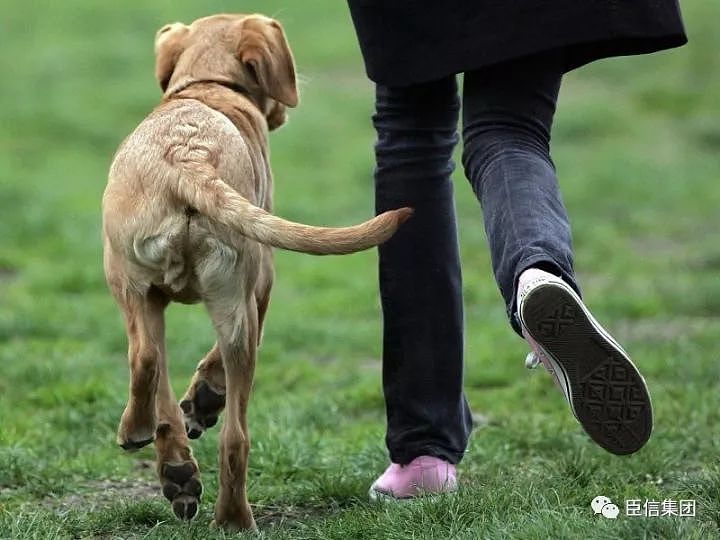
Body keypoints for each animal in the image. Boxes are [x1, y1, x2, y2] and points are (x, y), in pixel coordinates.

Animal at [101, 14, 410, 528]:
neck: (208, 86)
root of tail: (187, 156)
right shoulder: (261, 287)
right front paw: (203, 403)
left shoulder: (168, 297)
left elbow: (165, 384)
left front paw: (181, 454)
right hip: (227, 296)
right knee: (230, 428)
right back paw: (228, 511)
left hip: (135, 285)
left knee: (152, 364)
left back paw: (182, 473)